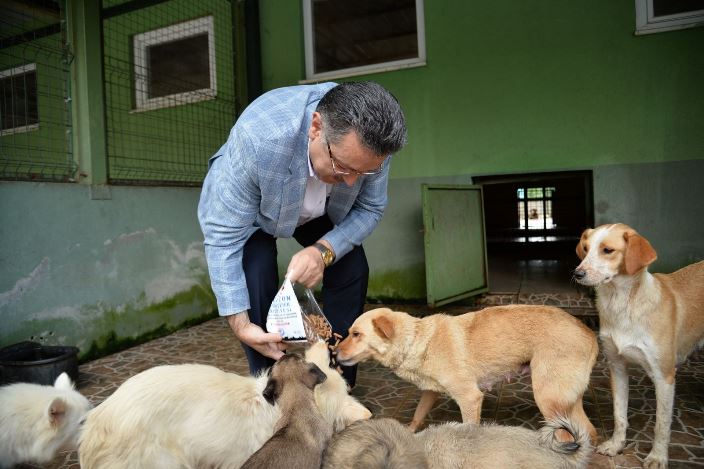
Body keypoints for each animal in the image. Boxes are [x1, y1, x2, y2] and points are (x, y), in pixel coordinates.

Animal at [335, 305, 598, 441]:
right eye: (349, 333)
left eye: (356, 334)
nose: (334, 352)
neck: (418, 338)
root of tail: (589, 332)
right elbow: (418, 415)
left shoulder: (470, 398)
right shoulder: (430, 392)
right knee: (589, 432)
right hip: (565, 400)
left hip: (547, 399)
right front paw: (408, 433)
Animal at [574, 223, 704, 469]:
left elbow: (661, 424)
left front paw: (657, 457)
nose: (577, 273)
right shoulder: (617, 367)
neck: (623, 303)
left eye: (607, 250)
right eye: (585, 249)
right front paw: (616, 445)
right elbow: (619, 415)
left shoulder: (664, 376)